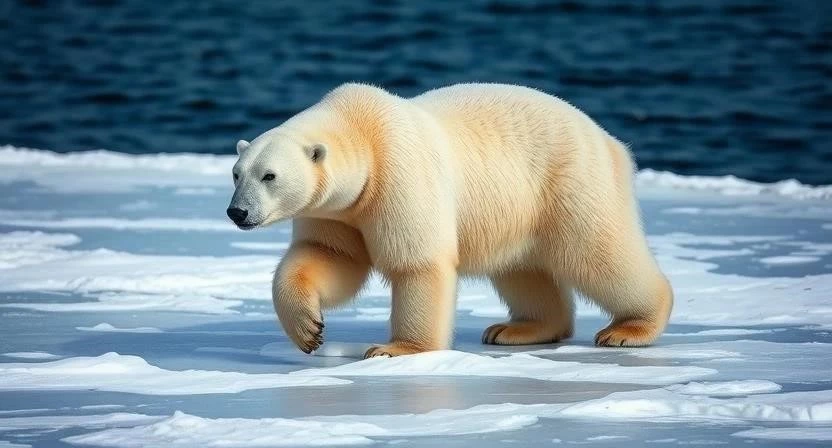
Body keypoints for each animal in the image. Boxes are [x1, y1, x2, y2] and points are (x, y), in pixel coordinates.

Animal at [227, 83, 673, 358]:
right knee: (524, 269)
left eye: (269, 175)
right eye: (237, 173)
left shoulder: (398, 175)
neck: (363, 130)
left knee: (597, 253)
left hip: (570, 182)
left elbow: (417, 262)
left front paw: (396, 349)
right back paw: (515, 329)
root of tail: (611, 142)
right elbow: (331, 256)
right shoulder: (339, 210)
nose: (237, 212)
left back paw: (628, 329)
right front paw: (308, 329)